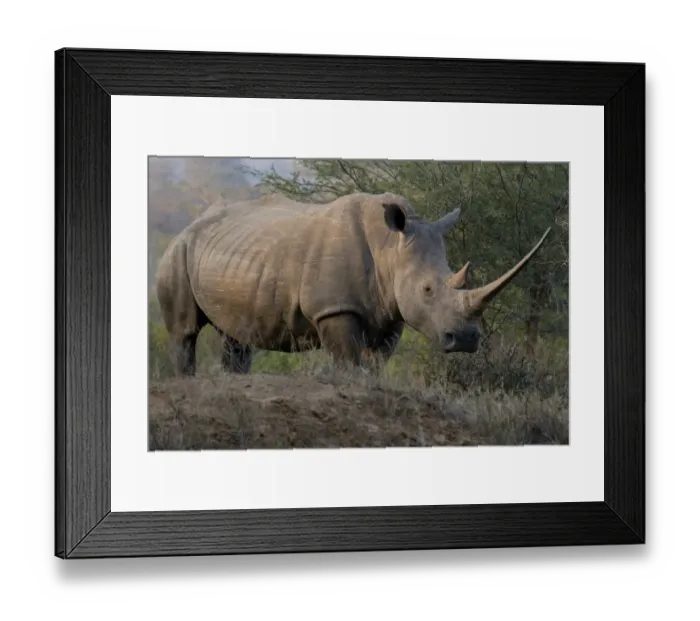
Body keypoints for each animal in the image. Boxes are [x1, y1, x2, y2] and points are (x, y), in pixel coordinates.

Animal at [155, 191, 551, 375]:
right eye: (427, 290)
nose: (467, 339)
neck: (391, 247)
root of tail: (190, 224)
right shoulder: (334, 309)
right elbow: (348, 361)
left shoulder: (390, 311)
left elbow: (376, 363)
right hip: (178, 251)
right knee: (184, 332)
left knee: (235, 337)